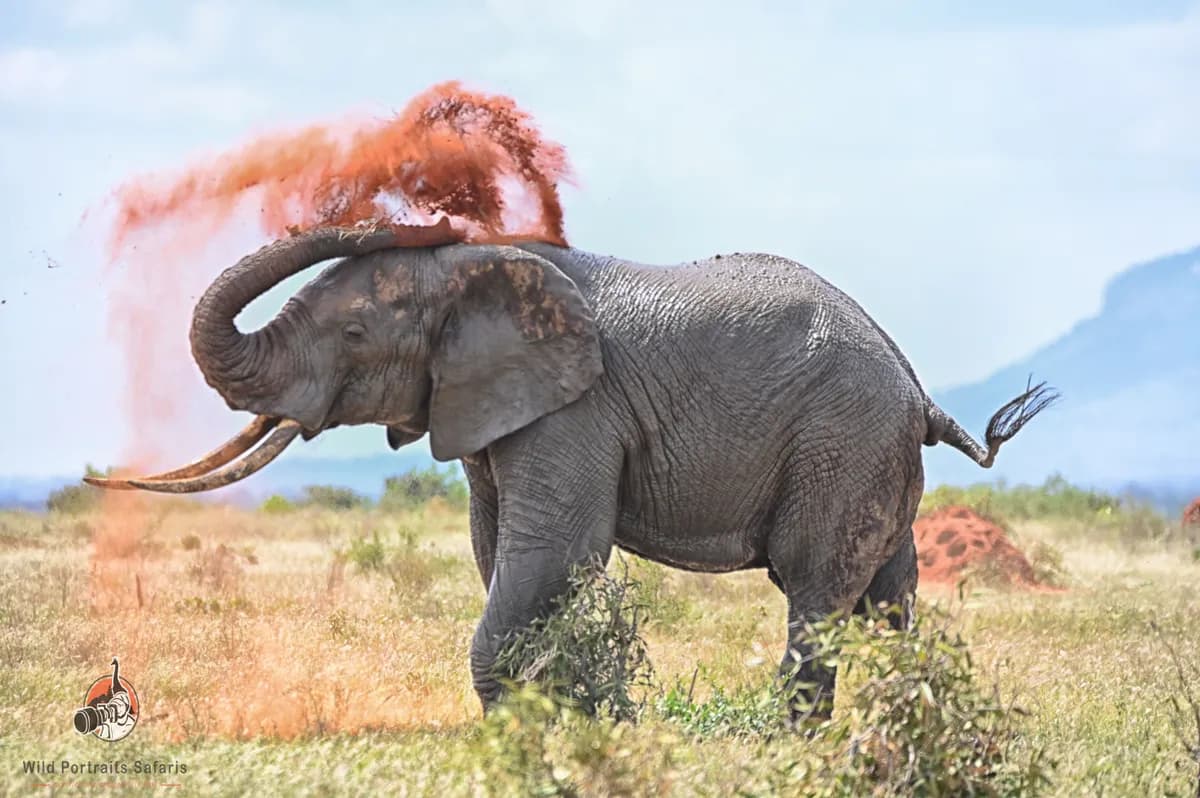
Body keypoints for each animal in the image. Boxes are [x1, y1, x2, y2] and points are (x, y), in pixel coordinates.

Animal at [87, 220, 1056, 718]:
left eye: (355, 336)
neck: (475, 269)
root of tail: (917, 387)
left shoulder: (577, 409)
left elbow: (550, 553)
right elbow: (496, 550)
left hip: (841, 441)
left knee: (817, 597)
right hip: (871, 456)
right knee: (889, 606)